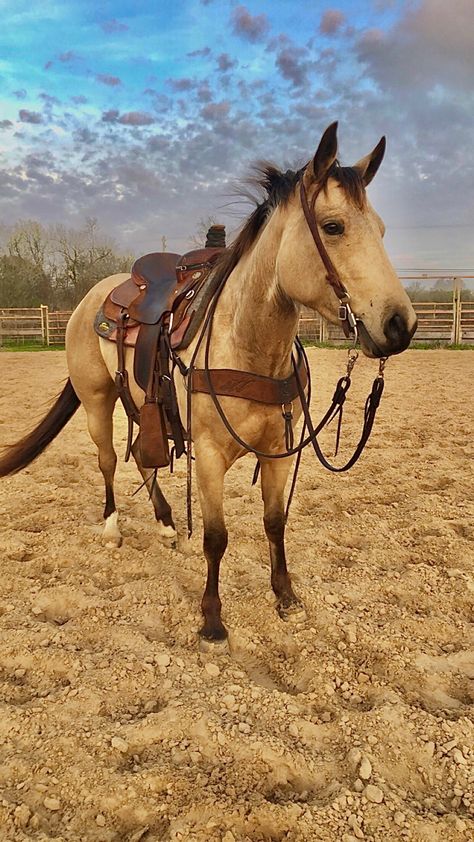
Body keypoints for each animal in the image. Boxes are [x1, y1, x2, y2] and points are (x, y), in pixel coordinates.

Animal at [0, 124, 414, 648]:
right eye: (334, 226)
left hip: (145, 406)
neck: (246, 344)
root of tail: (93, 298)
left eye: (380, 229)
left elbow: (274, 523)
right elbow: (217, 537)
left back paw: (165, 526)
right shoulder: (212, 455)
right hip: (97, 401)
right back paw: (113, 529)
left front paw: (286, 598)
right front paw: (212, 619)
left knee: (143, 456)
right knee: (110, 460)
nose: (400, 325)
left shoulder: (279, 451)